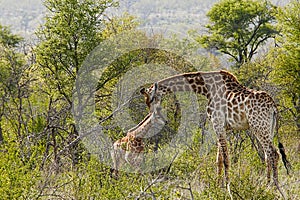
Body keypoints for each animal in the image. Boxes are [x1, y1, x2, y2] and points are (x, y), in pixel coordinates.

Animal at [140, 70, 290, 191]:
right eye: (147, 101)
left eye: (151, 99)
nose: (151, 116)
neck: (206, 89)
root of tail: (274, 107)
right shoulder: (221, 126)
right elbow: (219, 159)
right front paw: (217, 186)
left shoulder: (217, 123)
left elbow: (226, 159)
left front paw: (227, 187)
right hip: (268, 128)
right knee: (268, 155)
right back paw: (268, 184)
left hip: (258, 126)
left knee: (273, 153)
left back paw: (274, 187)